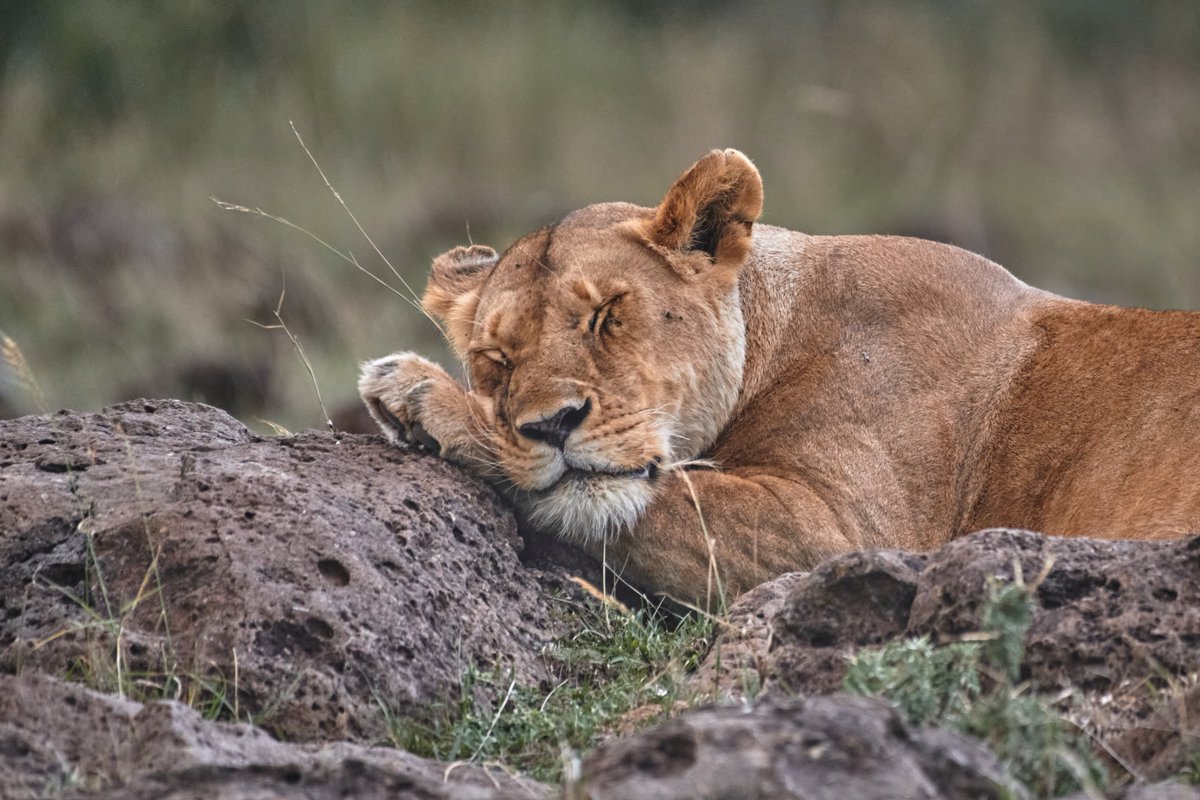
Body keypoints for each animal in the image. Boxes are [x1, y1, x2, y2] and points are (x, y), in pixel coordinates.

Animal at [359, 148, 1200, 605]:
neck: (775, 330)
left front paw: (419, 396)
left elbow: (672, 498)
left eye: (607, 314)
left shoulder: (845, 537)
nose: (549, 425)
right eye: (497, 360)